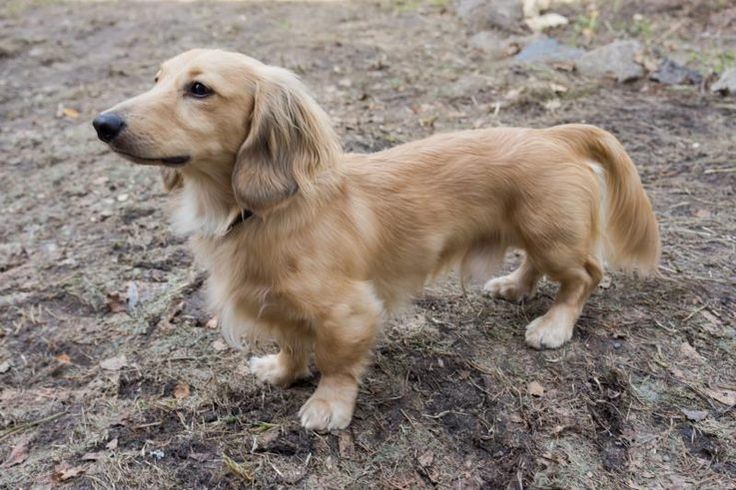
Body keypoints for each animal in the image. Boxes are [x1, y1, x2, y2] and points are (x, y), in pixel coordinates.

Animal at [93, 49, 660, 430]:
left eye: (199, 90)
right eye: (157, 79)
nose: (102, 123)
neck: (262, 212)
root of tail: (554, 134)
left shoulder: (347, 310)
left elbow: (336, 361)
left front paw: (328, 405)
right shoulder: (281, 306)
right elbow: (293, 344)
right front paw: (281, 371)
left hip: (554, 236)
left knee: (585, 277)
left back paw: (554, 324)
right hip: (536, 233)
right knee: (538, 265)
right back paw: (513, 287)